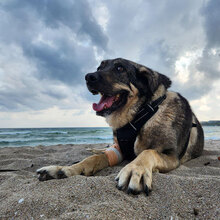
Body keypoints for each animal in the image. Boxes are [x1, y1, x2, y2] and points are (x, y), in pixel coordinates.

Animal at [37, 58, 204, 196]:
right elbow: (95, 158)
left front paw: (135, 169)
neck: (140, 115)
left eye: (120, 68)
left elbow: (148, 152)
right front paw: (66, 169)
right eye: (99, 67)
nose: (88, 77)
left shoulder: (172, 156)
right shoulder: (119, 150)